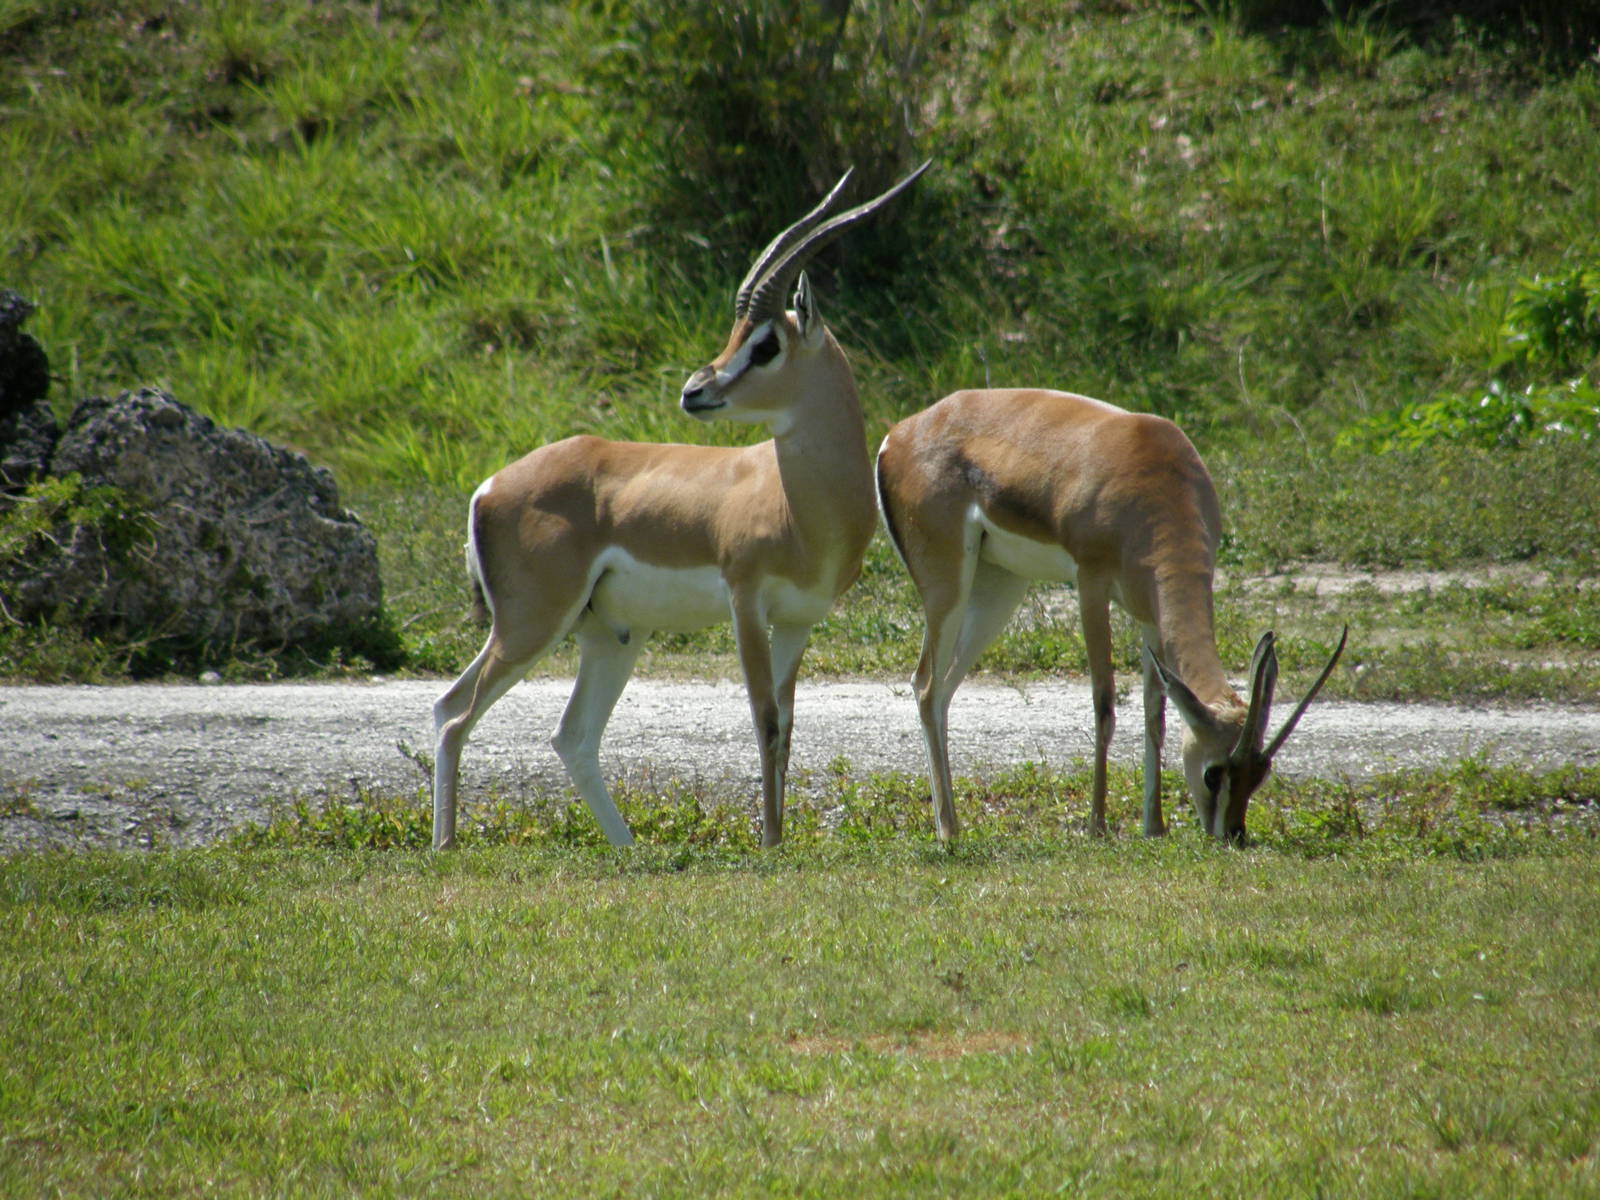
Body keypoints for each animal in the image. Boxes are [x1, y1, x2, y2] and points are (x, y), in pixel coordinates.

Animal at [432, 162, 929, 850]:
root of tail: (489, 486)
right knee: (457, 716)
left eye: (766, 344)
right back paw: (447, 847)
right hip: (533, 623)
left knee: (554, 732)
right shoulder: (745, 603)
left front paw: (779, 839)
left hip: (608, 635)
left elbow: (787, 728)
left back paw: (626, 850)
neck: (802, 510)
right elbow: (764, 719)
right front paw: (770, 846)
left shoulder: (798, 621)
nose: (696, 391)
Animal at [874, 388, 1347, 842]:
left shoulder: (1150, 615)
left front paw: (1154, 825)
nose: (1234, 834)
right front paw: (1097, 826)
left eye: (1260, 773)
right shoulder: (1091, 583)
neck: (1156, 476)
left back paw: (954, 824)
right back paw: (948, 832)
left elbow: (1155, 711)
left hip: (999, 589)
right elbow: (1104, 703)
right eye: (1214, 773)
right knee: (926, 685)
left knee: (943, 690)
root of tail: (899, 433)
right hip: (949, 585)